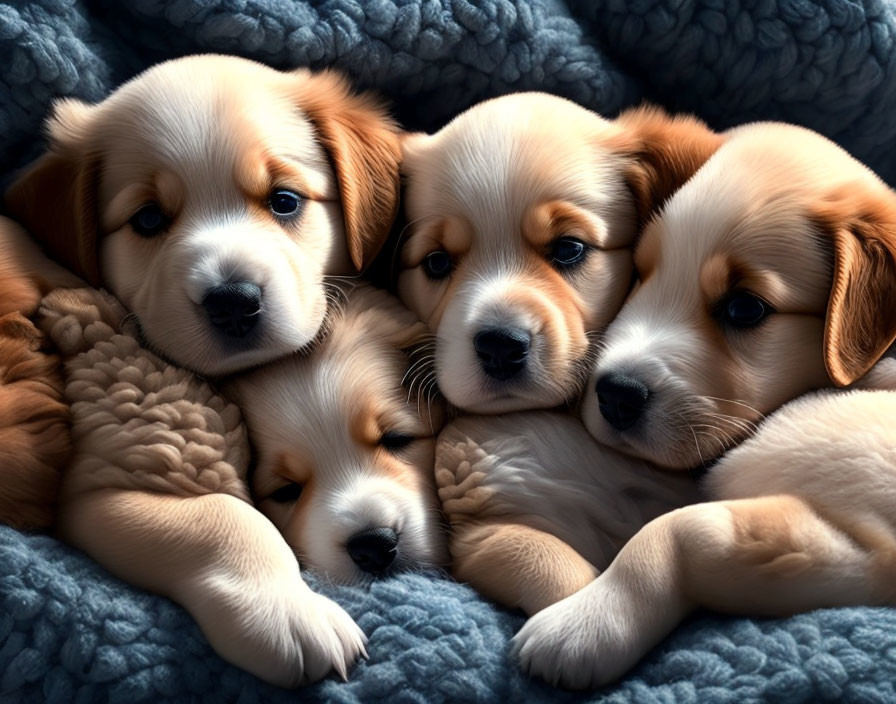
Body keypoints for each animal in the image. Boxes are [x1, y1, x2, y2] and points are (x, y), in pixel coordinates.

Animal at [512, 124, 896, 692]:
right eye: (641, 273)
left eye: (744, 307)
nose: (615, 393)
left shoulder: (871, 555)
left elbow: (679, 530)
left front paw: (582, 626)